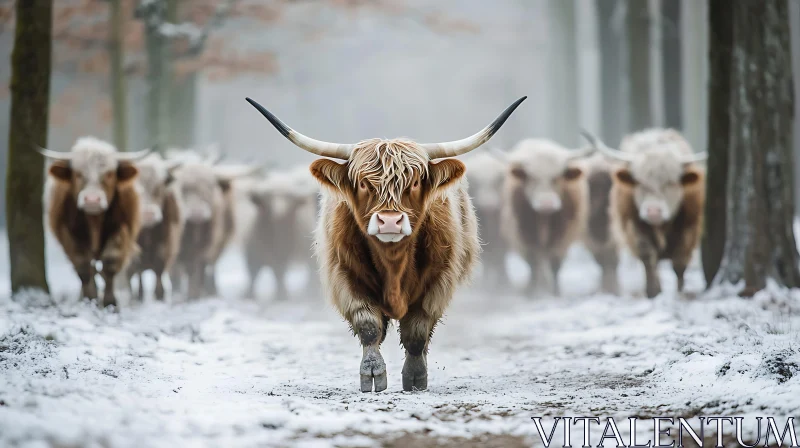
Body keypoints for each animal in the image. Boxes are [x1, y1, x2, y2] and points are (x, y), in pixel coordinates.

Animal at [38, 137, 150, 308]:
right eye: (78, 174)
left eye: (109, 174)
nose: (92, 200)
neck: (94, 221)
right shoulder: (70, 235)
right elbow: (83, 267)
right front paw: (89, 299)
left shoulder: (120, 231)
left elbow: (110, 263)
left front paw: (110, 302)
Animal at [126, 153, 184, 300]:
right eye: (137, 186)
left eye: (160, 185)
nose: (148, 214)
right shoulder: (133, 252)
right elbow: (135, 270)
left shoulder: (164, 248)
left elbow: (159, 271)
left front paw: (160, 295)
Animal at [247, 95, 528, 392]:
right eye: (362, 183)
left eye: (414, 182)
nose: (390, 222)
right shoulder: (346, 277)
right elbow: (369, 326)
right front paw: (372, 373)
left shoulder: (437, 283)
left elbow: (417, 332)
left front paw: (415, 377)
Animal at [500, 138, 592, 296]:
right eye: (532, 177)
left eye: (557, 177)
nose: (546, 204)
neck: (544, 221)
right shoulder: (525, 239)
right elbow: (533, 265)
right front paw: (531, 292)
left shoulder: (562, 240)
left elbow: (555, 265)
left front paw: (556, 293)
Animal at [580, 129, 708, 298]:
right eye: (640, 182)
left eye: (671, 182)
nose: (653, 211)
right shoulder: (635, 228)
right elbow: (647, 257)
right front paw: (653, 292)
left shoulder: (689, 231)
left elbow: (679, 264)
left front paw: (679, 293)